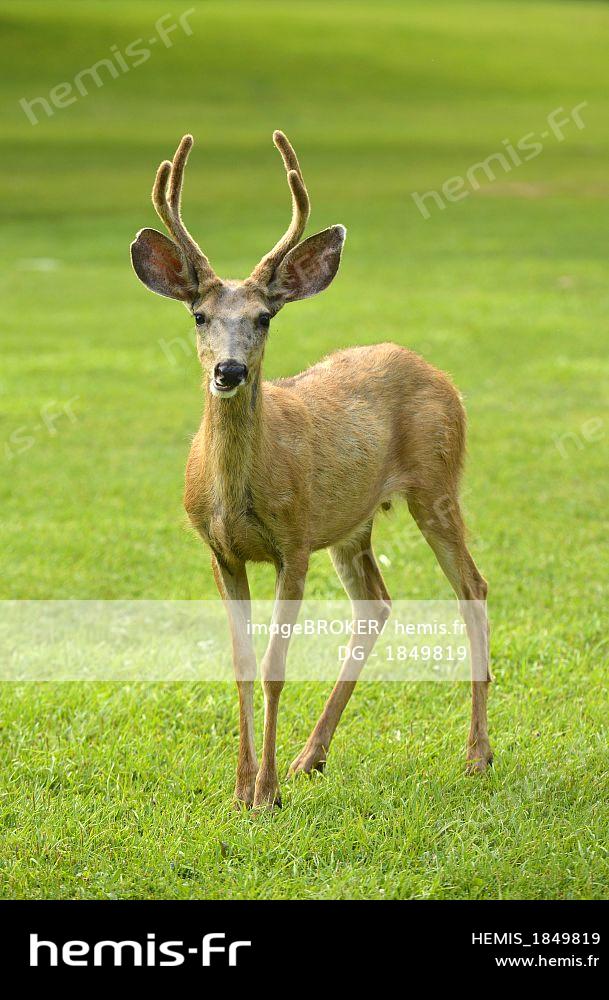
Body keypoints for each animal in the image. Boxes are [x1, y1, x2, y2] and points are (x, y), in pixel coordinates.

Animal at [131, 129, 492, 808]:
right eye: (199, 316)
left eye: (264, 318)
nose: (230, 370)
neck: (237, 491)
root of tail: (438, 372)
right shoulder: (219, 550)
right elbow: (242, 663)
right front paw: (241, 787)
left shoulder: (294, 543)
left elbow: (275, 666)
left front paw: (266, 795)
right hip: (353, 524)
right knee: (376, 604)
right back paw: (311, 757)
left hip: (436, 483)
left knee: (472, 588)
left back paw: (478, 754)